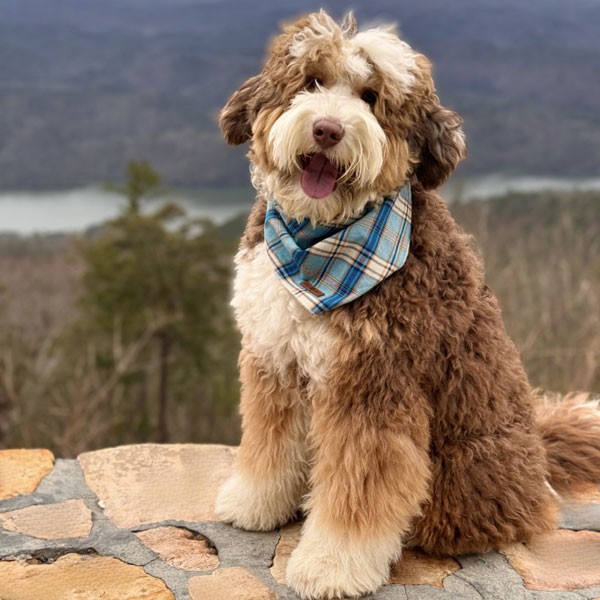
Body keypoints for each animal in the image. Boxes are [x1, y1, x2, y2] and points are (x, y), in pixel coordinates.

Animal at [214, 10, 600, 600]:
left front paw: (332, 565)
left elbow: (360, 490)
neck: (318, 242)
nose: (327, 129)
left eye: (371, 98)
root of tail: (539, 458)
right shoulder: (276, 360)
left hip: (464, 476)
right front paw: (255, 503)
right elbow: (269, 441)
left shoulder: (373, 387)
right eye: (311, 81)